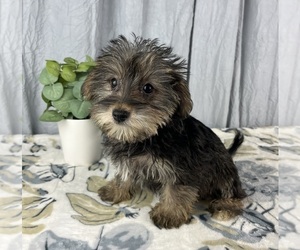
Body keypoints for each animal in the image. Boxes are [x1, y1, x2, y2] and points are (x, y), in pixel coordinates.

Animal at [82, 35, 246, 229]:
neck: (147, 136)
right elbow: (124, 173)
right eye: (113, 82)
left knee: (234, 193)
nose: (119, 114)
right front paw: (116, 190)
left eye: (148, 88)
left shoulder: (181, 167)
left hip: (223, 170)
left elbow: (176, 189)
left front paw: (168, 213)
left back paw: (225, 207)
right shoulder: (127, 160)